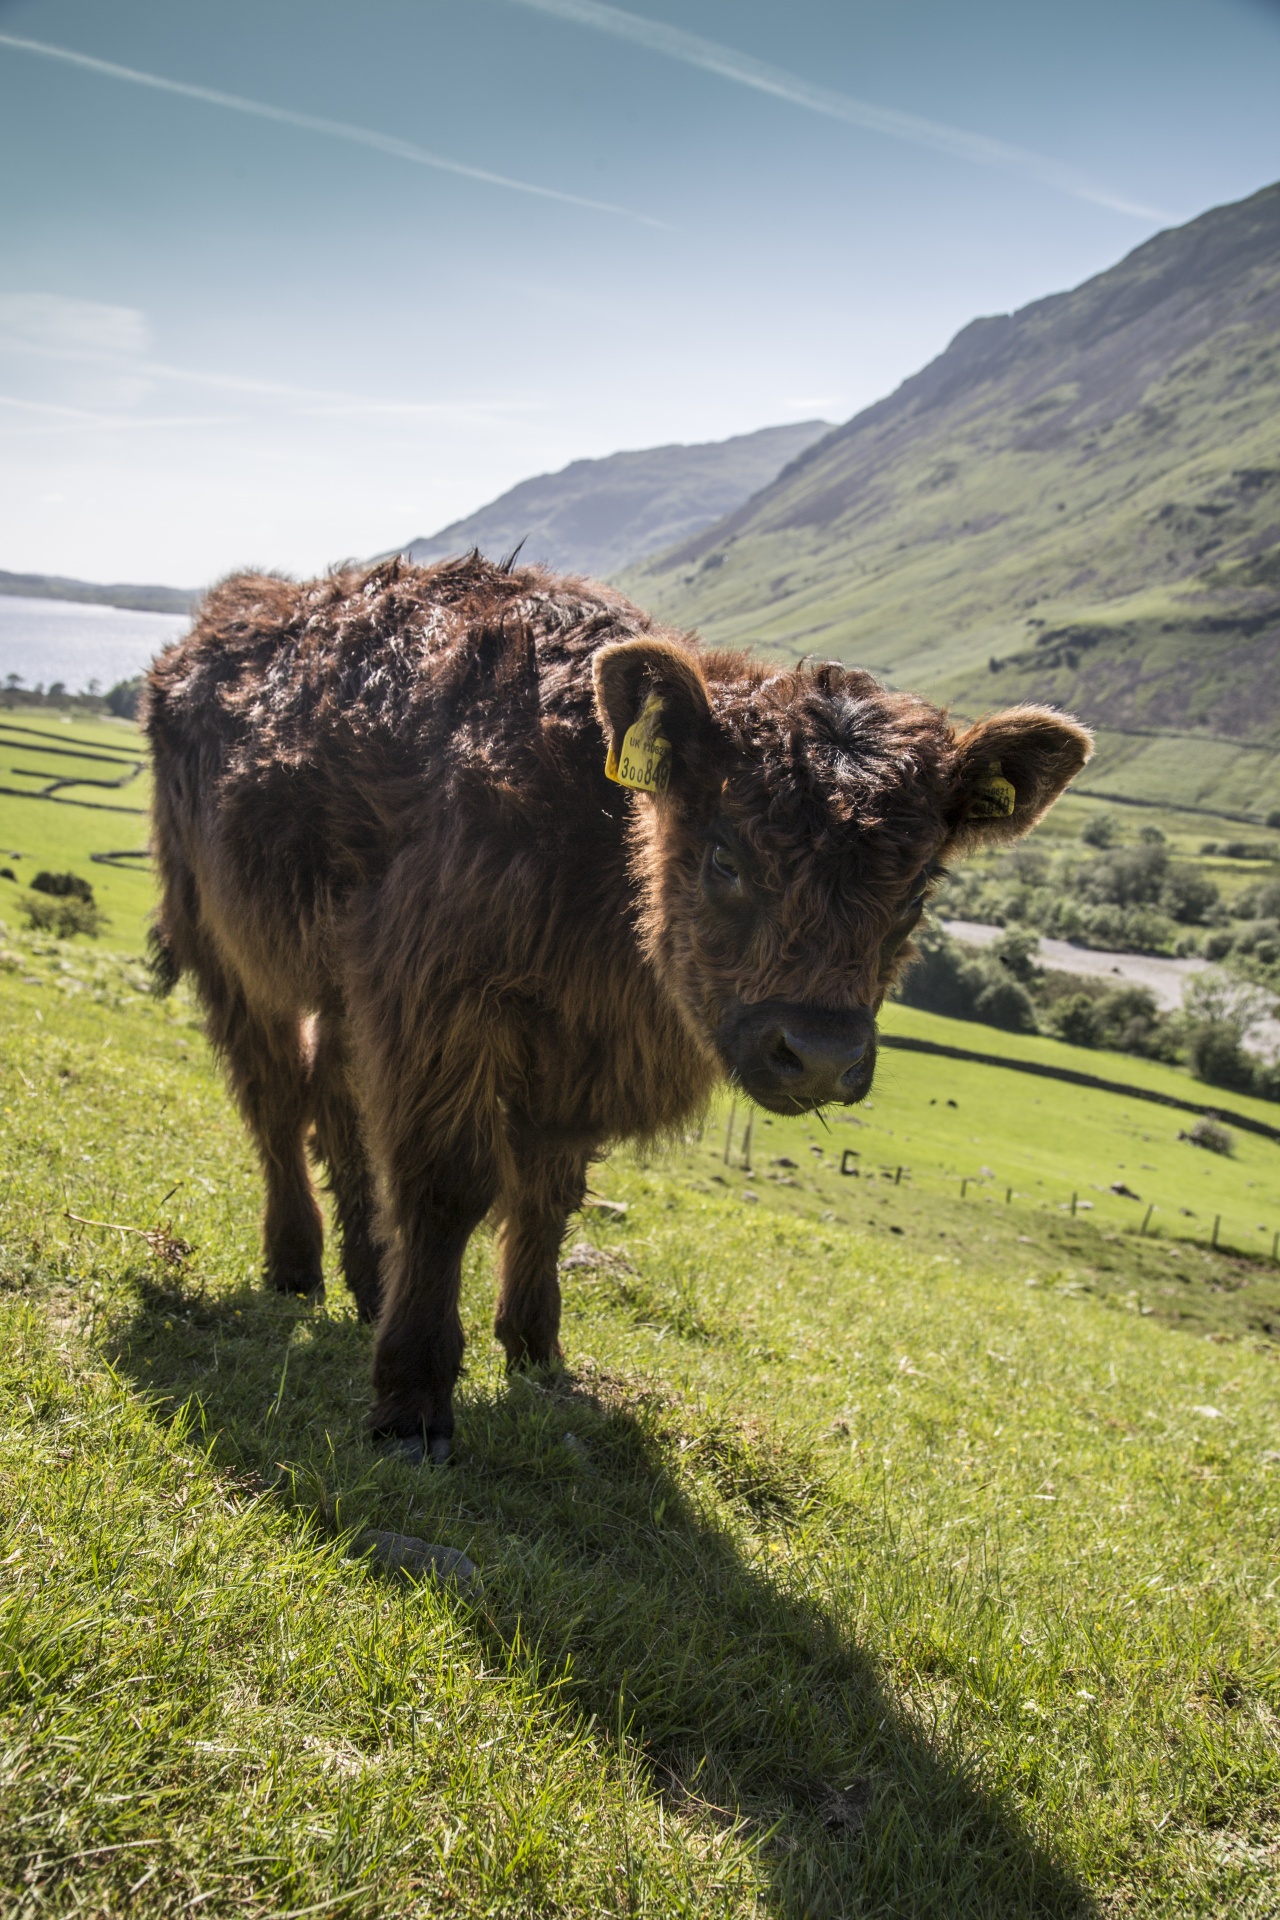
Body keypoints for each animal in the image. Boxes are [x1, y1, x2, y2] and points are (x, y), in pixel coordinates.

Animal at [150, 556, 1090, 1451]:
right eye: (725, 857)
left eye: (918, 890)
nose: (819, 1055)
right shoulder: (438, 1000)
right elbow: (449, 1187)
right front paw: (413, 1400)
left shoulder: (568, 1054)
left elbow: (546, 1196)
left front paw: (535, 1349)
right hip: (227, 945)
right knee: (276, 1101)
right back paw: (296, 1266)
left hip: (340, 987)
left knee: (336, 1101)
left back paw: (368, 1279)